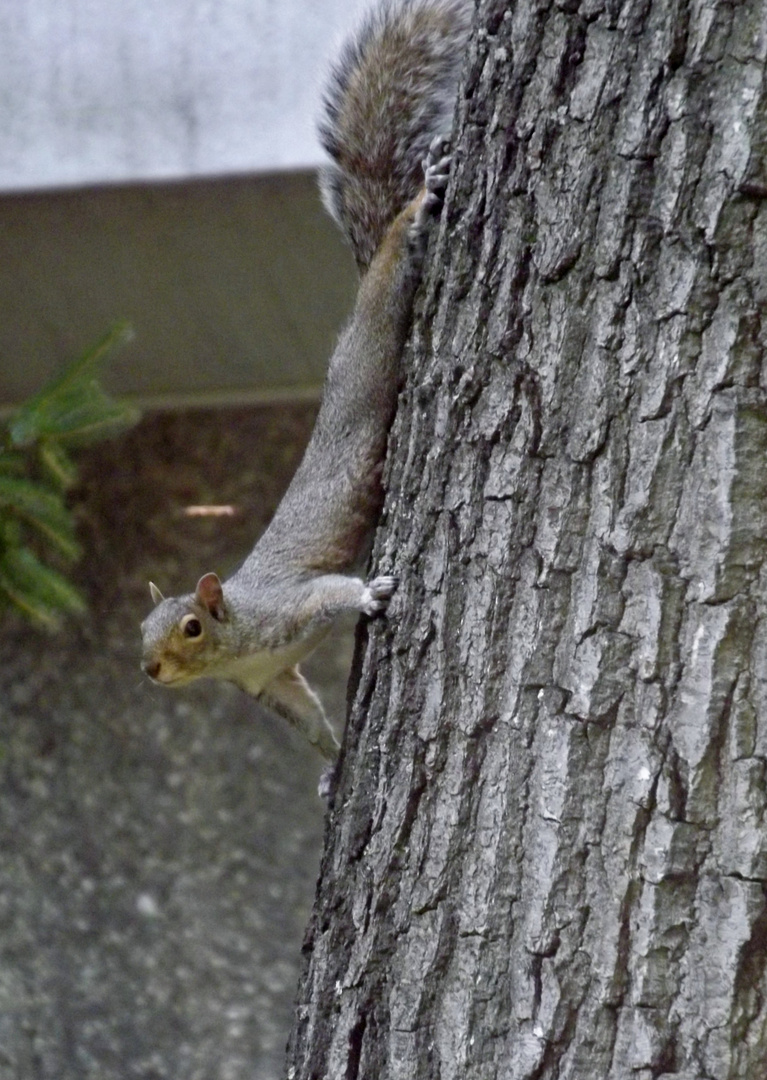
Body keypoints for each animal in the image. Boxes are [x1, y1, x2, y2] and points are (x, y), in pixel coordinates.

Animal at [140, 0, 471, 781]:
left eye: (190, 626)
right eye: (141, 629)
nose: (149, 669)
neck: (238, 640)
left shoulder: (291, 609)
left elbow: (334, 593)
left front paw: (374, 592)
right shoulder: (273, 683)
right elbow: (310, 719)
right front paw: (333, 765)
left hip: (372, 345)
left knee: (392, 269)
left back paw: (419, 204)